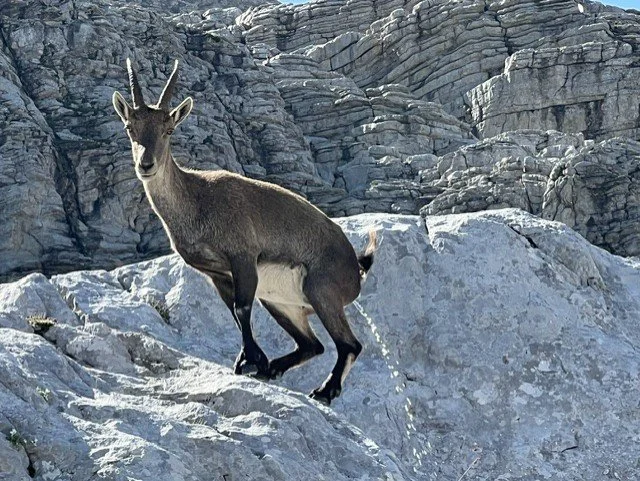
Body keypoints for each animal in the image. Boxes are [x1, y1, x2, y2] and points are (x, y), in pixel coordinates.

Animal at [112, 59, 376, 404]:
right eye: (130, 128)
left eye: (168, 130)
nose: (146, 164)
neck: (197, 201)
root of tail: (356, 268)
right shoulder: (217, 274)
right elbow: (234, 312)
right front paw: (254, 360)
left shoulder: (243, 256)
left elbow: (242, 308)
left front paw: (249, 361)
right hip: (282, 302)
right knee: (312, 345)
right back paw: (274, 368)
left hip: (322, 290)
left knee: (349, 344)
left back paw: (324, 390)